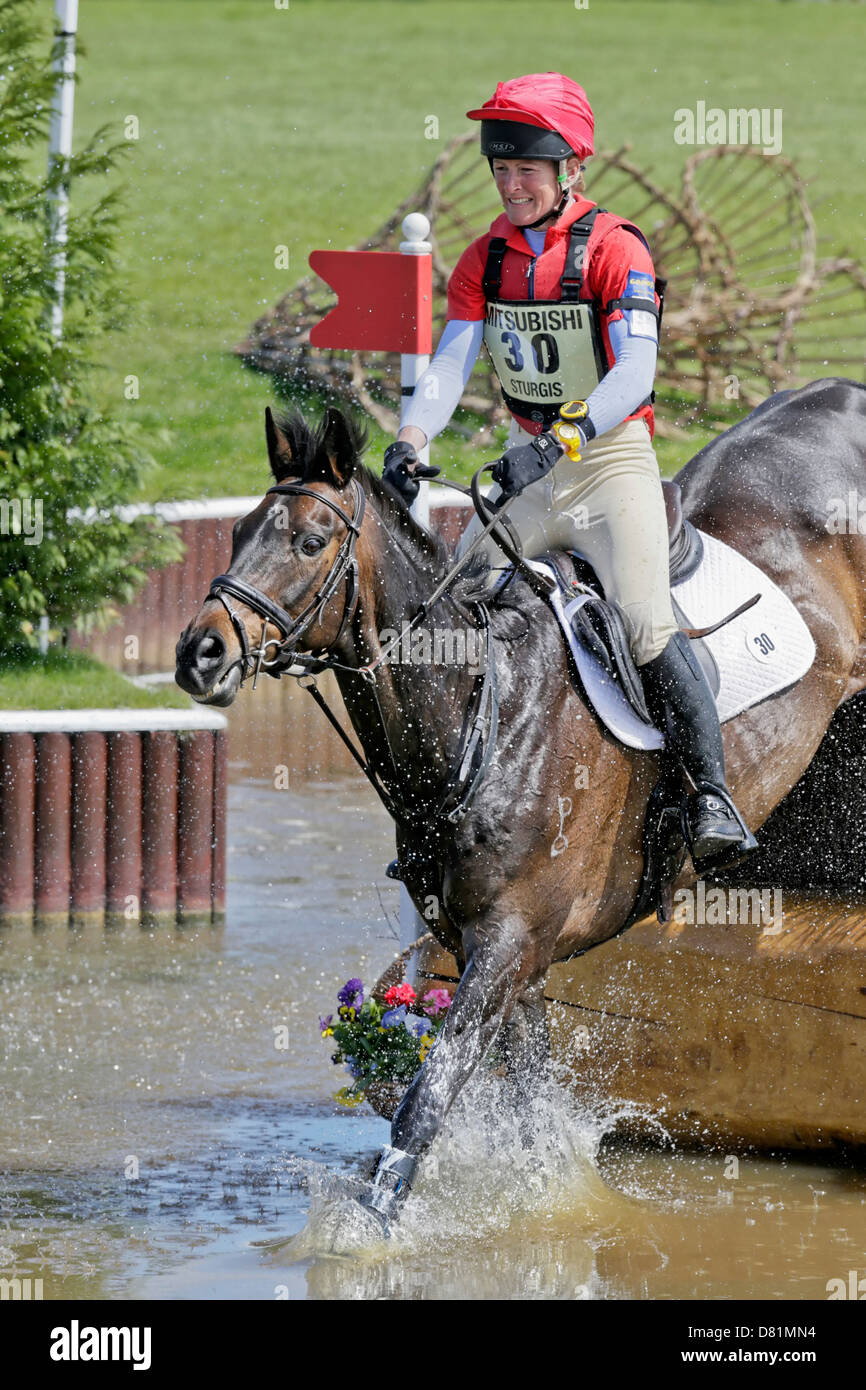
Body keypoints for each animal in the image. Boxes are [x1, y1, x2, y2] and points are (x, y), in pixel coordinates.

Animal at [175, 377, 866, 1232]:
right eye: (237, 532)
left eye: (309, 542)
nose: (199, 653)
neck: (485, 711)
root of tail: (839, 391)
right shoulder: (517, 961)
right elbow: (532, 1109)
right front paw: (557, 1206)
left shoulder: (505, 943)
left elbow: (427, 1099)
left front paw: (369, 1232)